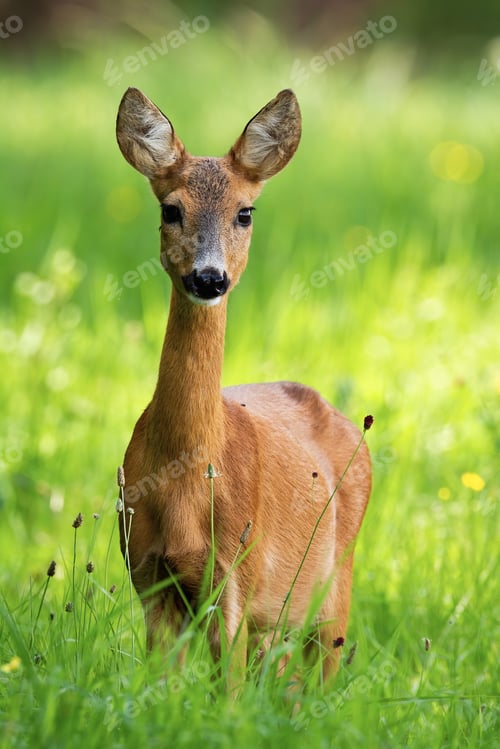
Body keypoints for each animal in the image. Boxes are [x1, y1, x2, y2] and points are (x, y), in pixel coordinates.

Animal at [115, 87, 372, 685]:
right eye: (170, 209)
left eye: (245, 212)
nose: (209, 278)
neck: (185, 482)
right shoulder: (149, 574)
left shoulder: (235, 575)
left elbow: (228, 690)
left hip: (337, 580)